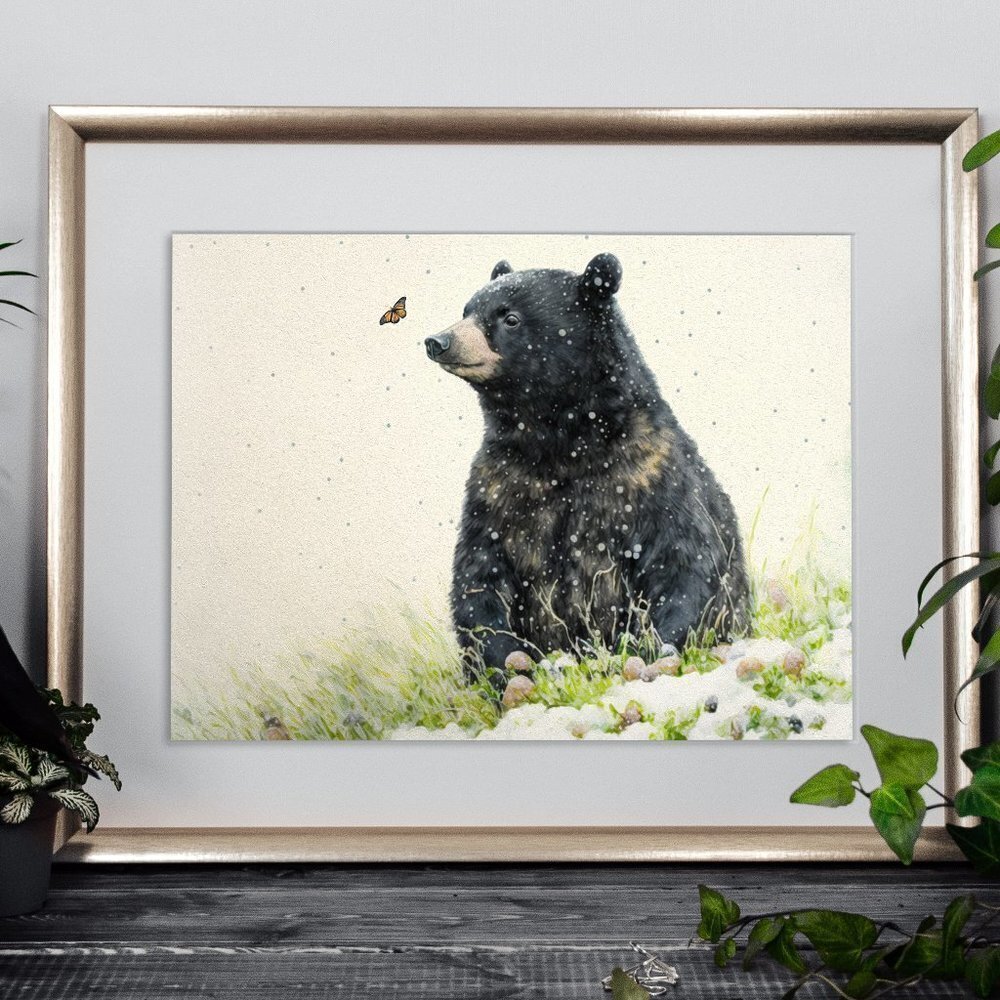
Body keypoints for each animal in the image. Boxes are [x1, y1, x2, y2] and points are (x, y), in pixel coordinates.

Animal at [424, 253, 750, 684]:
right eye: (467, 309)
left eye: (509, 317)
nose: (438, 341)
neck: (562, 443)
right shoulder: (499, 487)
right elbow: (479, 575)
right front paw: (509, 664)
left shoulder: (651, 476)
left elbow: (685, 561)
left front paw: (650, 648)